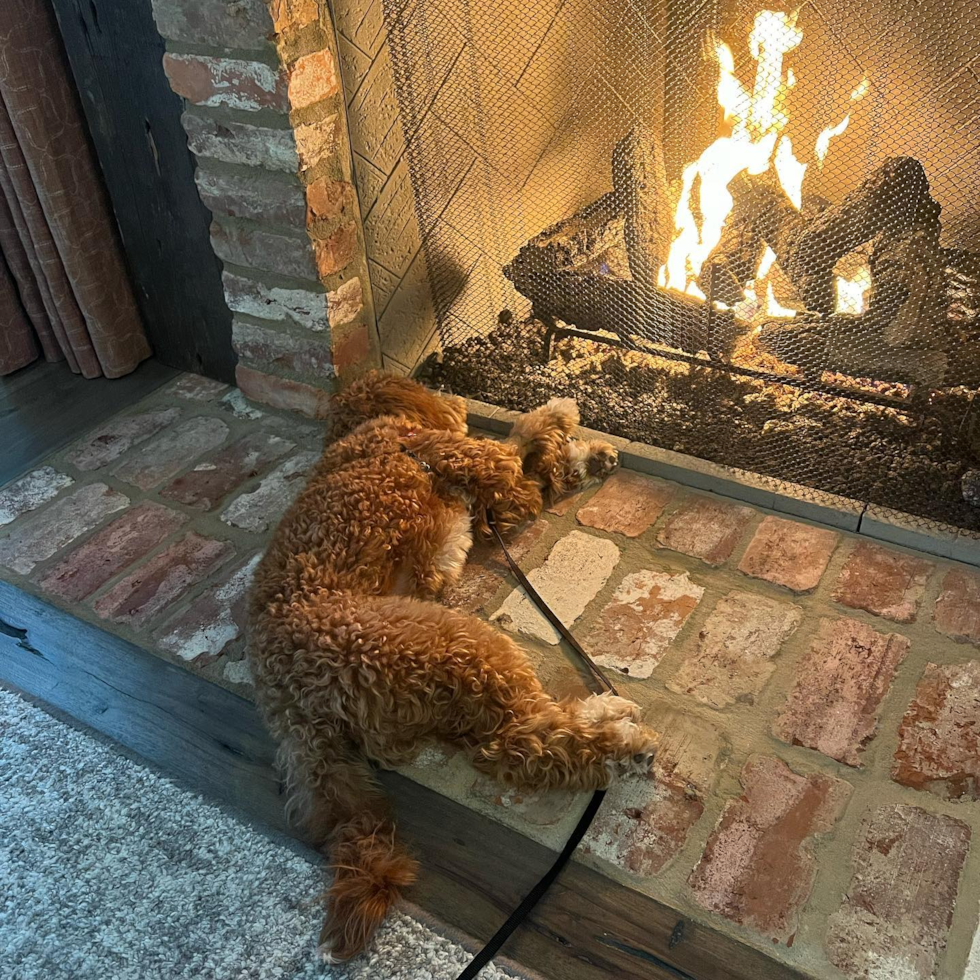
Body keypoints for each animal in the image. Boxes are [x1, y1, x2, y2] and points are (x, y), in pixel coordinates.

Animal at [245, 372, 660, 960]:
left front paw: (585, 456)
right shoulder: (481, 463)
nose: (453, 398)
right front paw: (559, 417)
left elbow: (534, 474)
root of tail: (295, 708)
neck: (373, 430)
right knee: (525, 744)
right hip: (454, 641)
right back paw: (619, 734)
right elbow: (519, 442)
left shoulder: (495, 507)